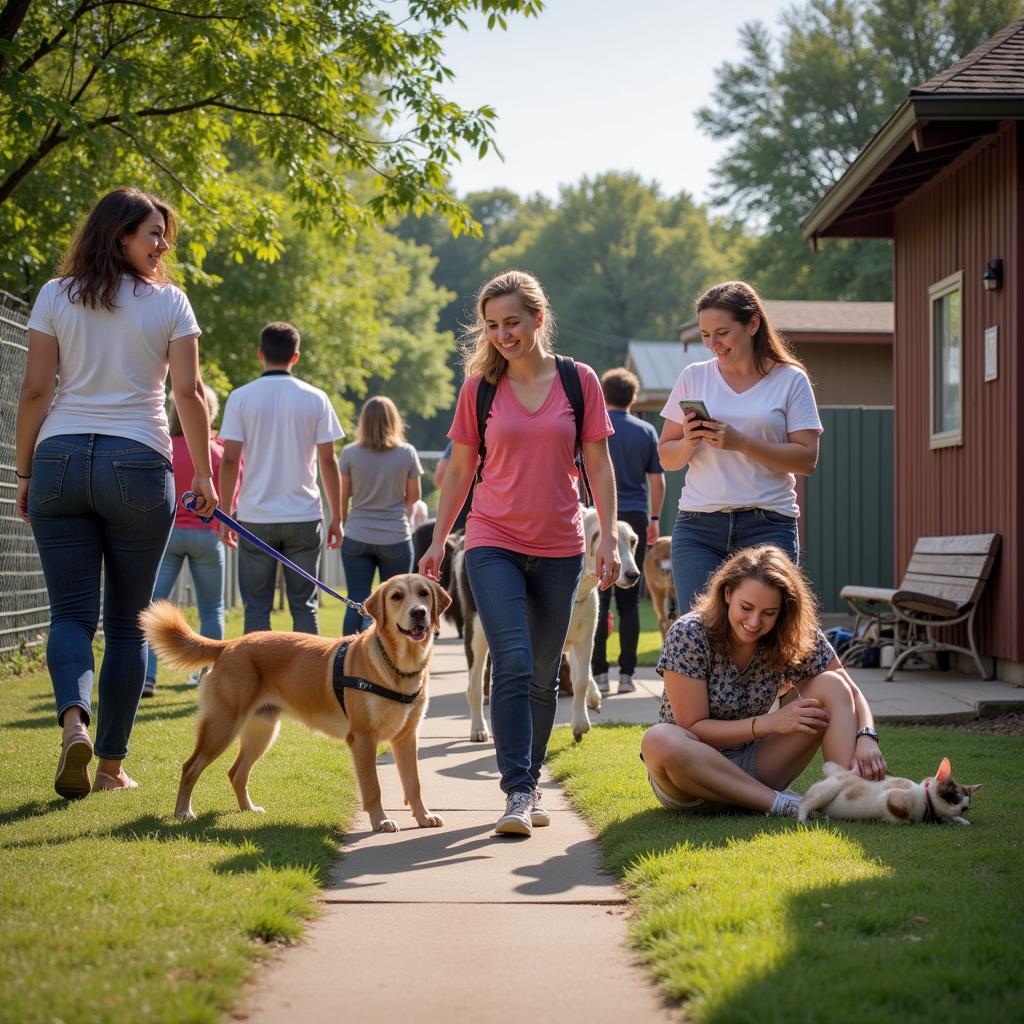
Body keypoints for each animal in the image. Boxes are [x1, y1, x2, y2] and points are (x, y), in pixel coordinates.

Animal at [140, 577, 448, 831]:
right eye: (397, 596)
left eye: (424, 594)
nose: (418, 612)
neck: (398, 667)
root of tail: (229, 644)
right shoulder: (362, 738)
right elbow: (373, 788)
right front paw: (381, 821)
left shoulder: (406, 737)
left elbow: (414, 784)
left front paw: (423, 817)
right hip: (222, 726)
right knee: (189, 767)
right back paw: (183, 812)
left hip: (261, 731)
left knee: (236, 772)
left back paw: (247, 809)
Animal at [794, 757, 978, 827]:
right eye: (954, 798)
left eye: (967, 807)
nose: (963, 809)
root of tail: (838, 773)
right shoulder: (893, 797)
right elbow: (901, 811)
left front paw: (961, 820)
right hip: (829, 788)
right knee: (804, 803)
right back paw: (803, 819)